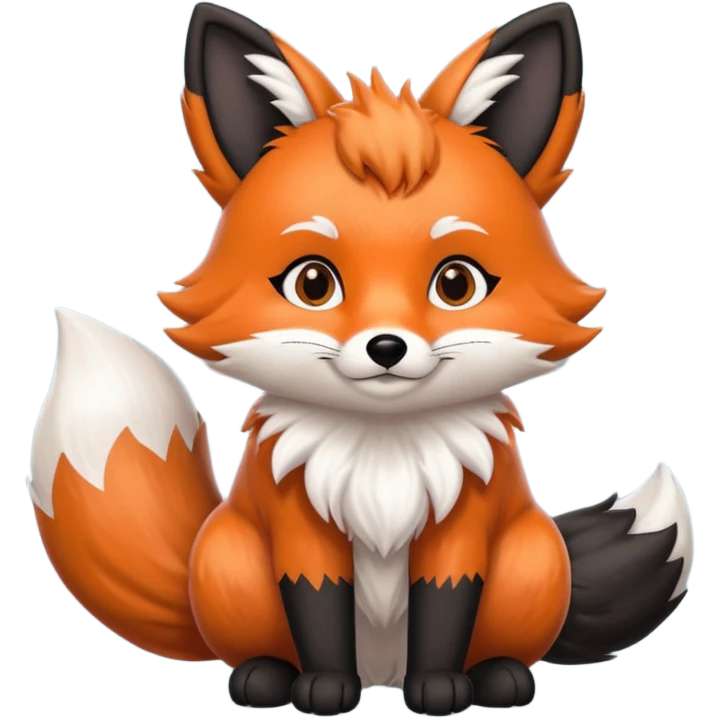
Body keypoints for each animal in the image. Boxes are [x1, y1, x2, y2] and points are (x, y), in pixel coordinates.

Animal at [27, 2, 695, 716]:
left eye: (456, 283)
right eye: (313, 283)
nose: (386, 347)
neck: (384, 451)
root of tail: (383, 674)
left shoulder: (460, 529)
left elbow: (445, 609)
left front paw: (440, 688)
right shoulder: (300, 529)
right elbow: (318, 608)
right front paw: (324, 689)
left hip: (532, 557)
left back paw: (500, 678)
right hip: (229, 556)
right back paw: (264, 677)